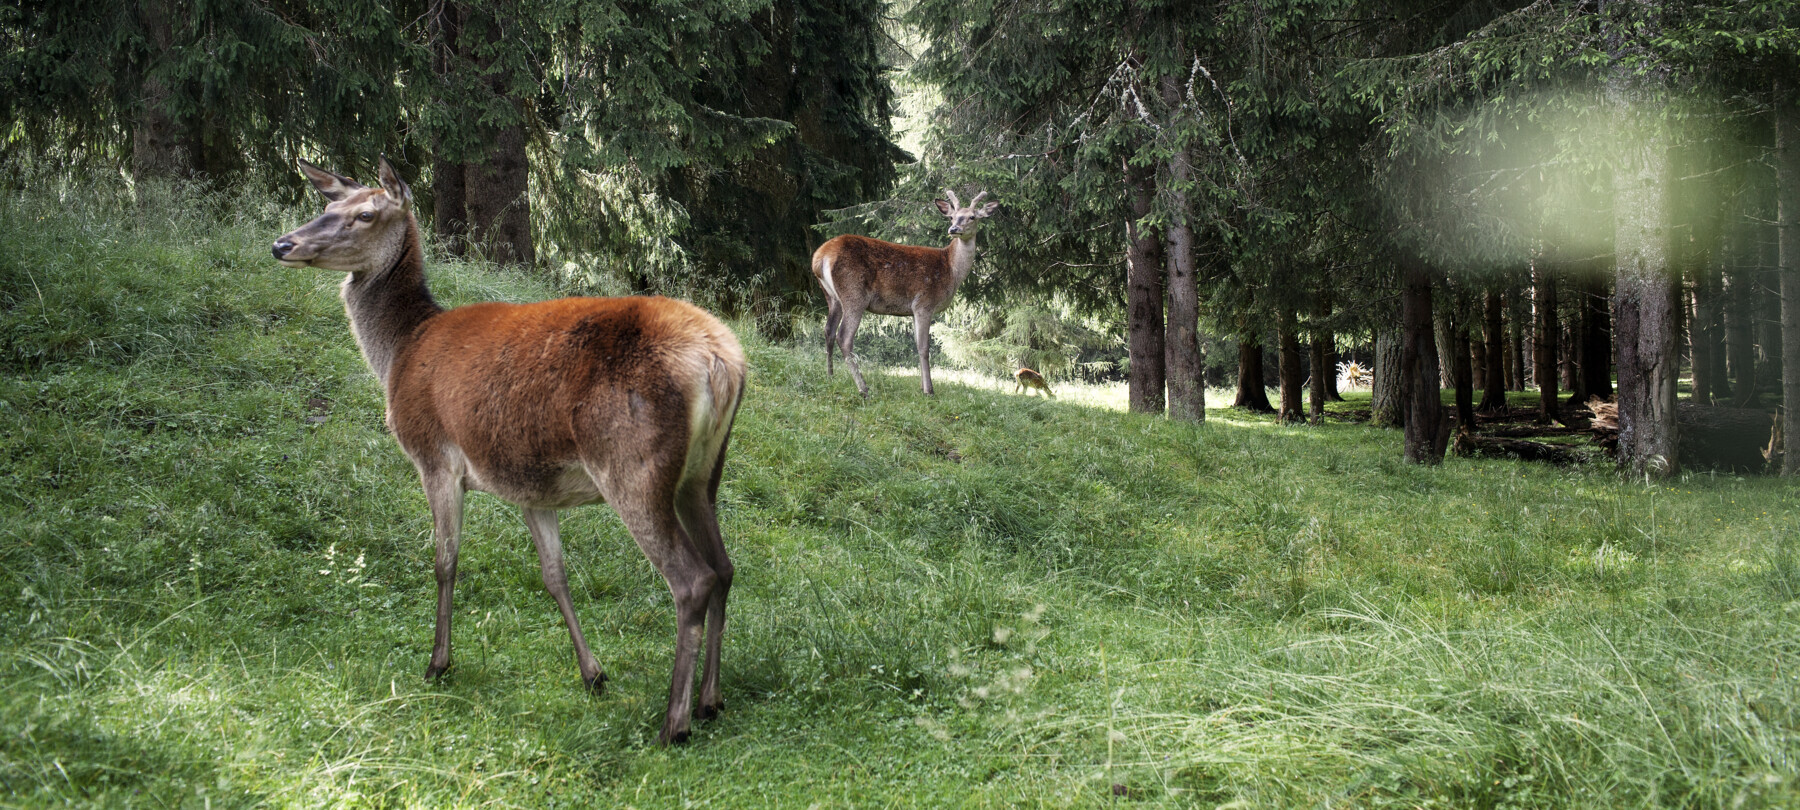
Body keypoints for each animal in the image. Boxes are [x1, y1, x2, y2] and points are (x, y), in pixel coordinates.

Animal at [268, 154, 745, 745]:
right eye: (327, 207)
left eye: (364, 214)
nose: (282, 244)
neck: (399, 353)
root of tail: (720, 361)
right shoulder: (528, 485)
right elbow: (555, 575)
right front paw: (593, 674)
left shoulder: (433, 456)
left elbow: (445, 561)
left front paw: (438, 663)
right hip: (702, 472)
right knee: (724, 567)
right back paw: (709, 700)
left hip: (633, 466)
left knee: (693, 579)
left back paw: (673, 723)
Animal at [813, 186, 1000, 396]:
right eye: (952, 217)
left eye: (972, 217)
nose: (954, 229)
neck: (951, 270)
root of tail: (820, 257)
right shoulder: (924, 302)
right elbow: (924, 347)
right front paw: (929, 390)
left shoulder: (912, 310)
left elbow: (917, 345)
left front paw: (921, 386)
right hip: (854, 293)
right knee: (844, 337)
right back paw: (863, 389)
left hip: (831, 296)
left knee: (828, 330)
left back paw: (830, 377)